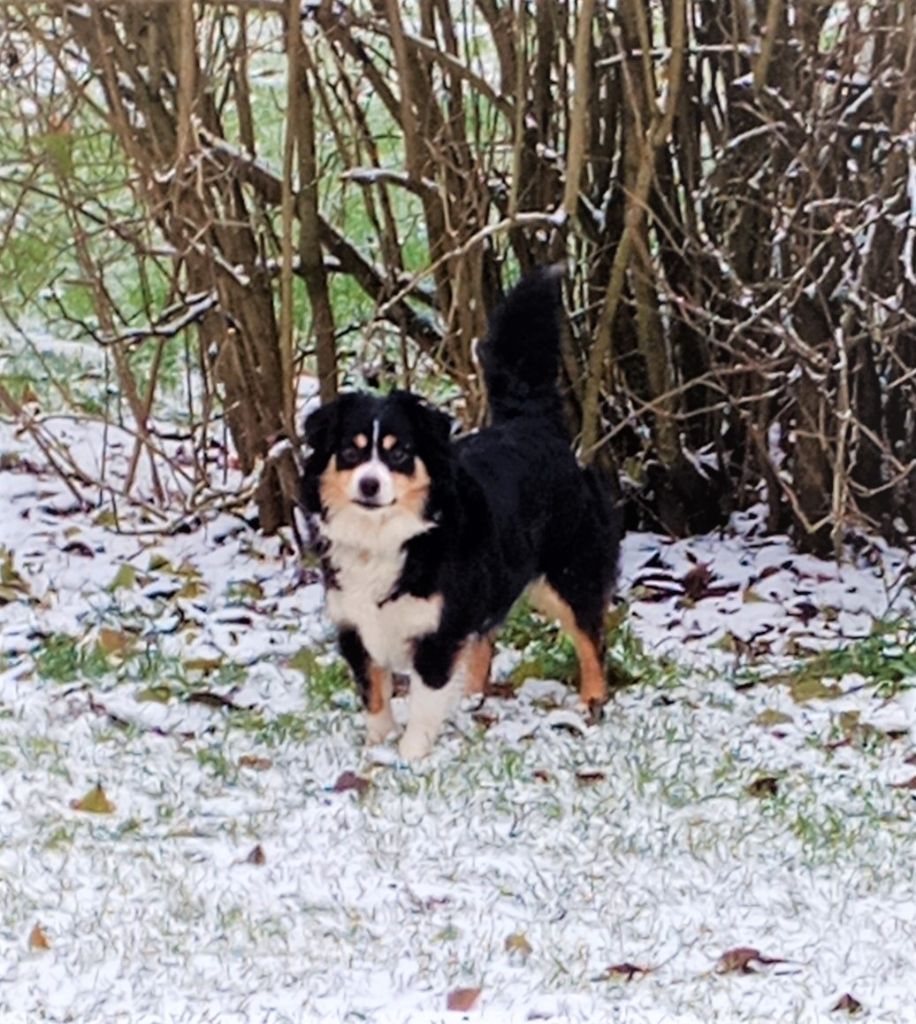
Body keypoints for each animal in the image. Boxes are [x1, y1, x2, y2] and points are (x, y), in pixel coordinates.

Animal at [301, 267, 620, 761]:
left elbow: (424, 695)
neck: (385, 537)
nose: (370, 485)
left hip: (568, 572)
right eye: (350, 452)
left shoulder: (438, 629)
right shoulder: (354, 624)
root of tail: (532, 423)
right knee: (486, 633)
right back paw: (471, 697)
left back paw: (591, 699)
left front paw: (411, 755)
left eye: (399, 452)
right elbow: (374, 693)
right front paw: (377, 745)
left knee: (590, 636)